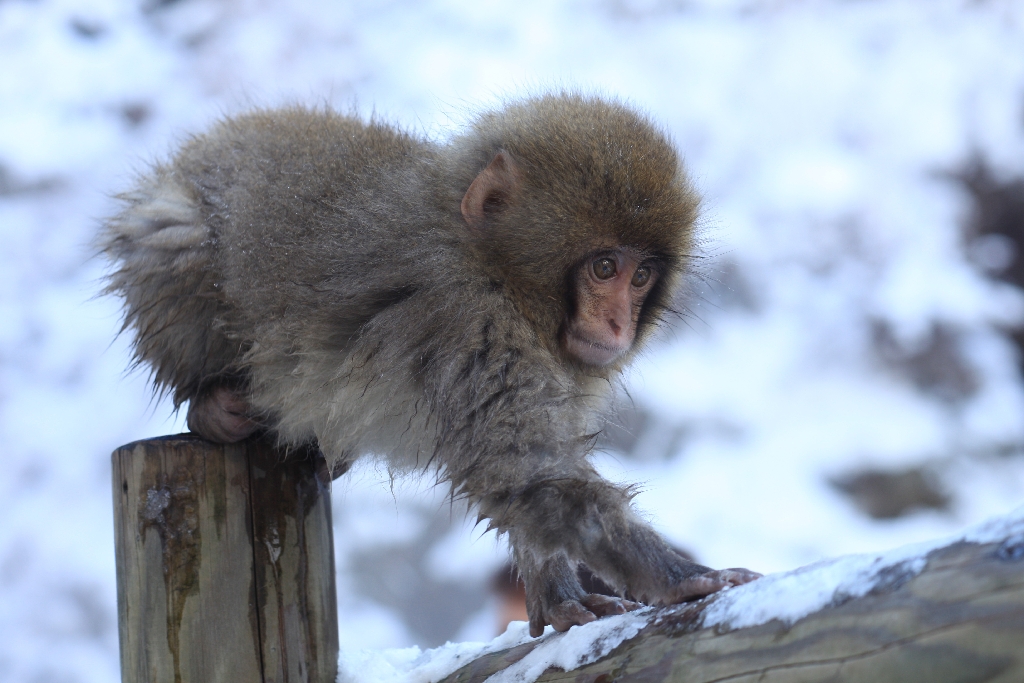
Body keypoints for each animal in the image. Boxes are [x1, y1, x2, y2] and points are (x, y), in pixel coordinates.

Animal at [101, 92, 761, 643]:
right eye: (605, 268)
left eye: (641, 275)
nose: (620, 324)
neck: (497, 269)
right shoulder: (469, 321)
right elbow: (527, 471)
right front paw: (677, 575)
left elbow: (531, 478)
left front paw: (557, 594)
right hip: (172, 227)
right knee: (171, 231)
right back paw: (211, 406)